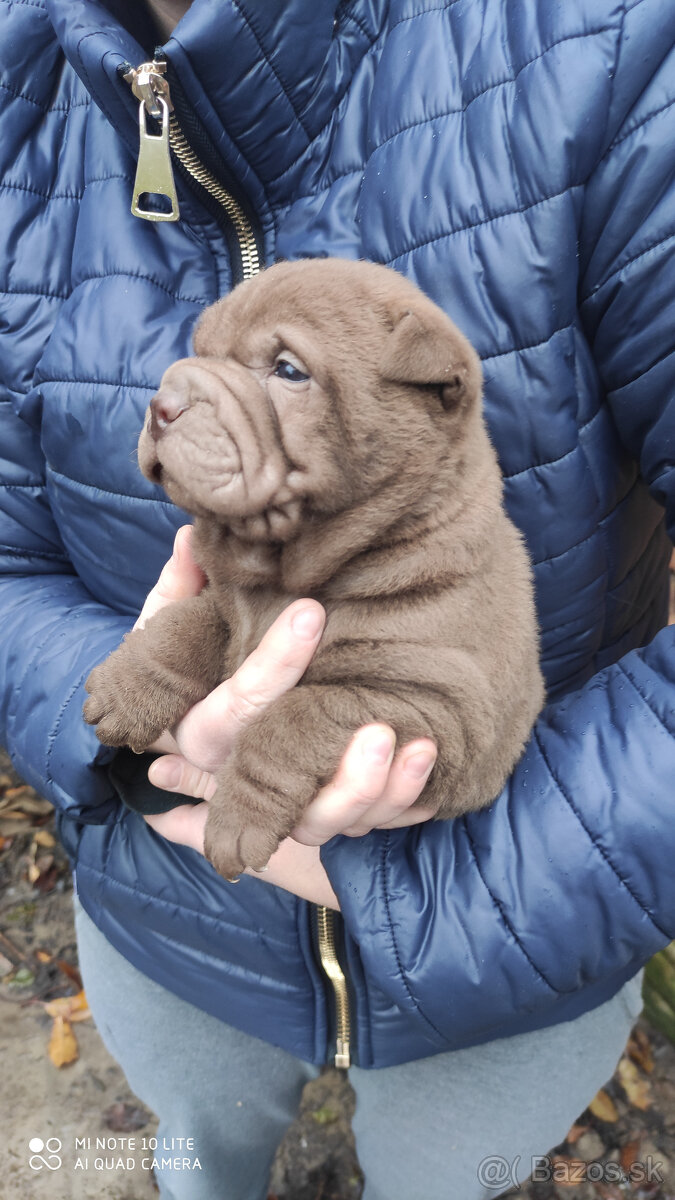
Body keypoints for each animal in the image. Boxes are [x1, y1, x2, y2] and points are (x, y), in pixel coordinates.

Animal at [84, 260, 547, 883]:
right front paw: (125, 688)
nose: (161, 404)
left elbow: (297, 717)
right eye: (201, 351)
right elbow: (186, 626)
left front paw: (238, 822)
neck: (284, 573)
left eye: (287, 371)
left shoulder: (433, 708)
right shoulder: (231, 602)